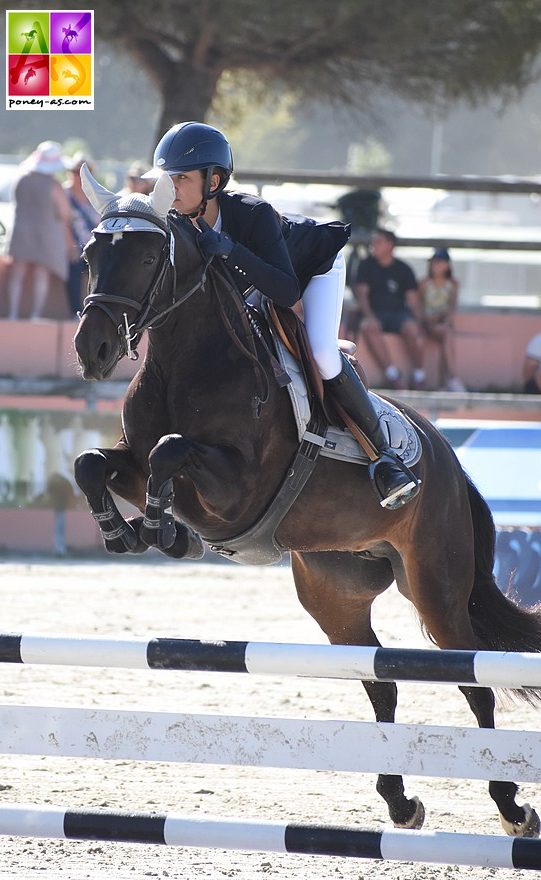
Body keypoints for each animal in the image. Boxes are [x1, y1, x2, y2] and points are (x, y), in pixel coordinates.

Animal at [74, 167, 540, 840]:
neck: (185, 360)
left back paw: (510, 807)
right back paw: (400, 802)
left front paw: (164, 529)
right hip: (334, 591)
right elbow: (93, 463)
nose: (92, 350)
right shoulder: (131, 463)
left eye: (142, 256)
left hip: (437, 586)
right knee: (381, 683)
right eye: (89, 255)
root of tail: (446, 458)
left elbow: (171, 450)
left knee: (474, 684)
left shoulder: (235, 491)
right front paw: (127, 532)